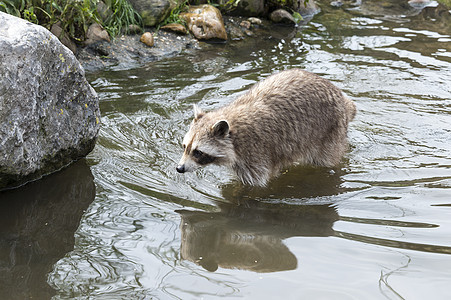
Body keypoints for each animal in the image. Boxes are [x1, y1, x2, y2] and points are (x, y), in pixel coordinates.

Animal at [177, 69, 356, 186]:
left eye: (198, 152)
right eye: (185, 147)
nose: (179, 168)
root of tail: (340, 97)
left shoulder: (256, 152)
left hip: (330, 131)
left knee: (326, 160)